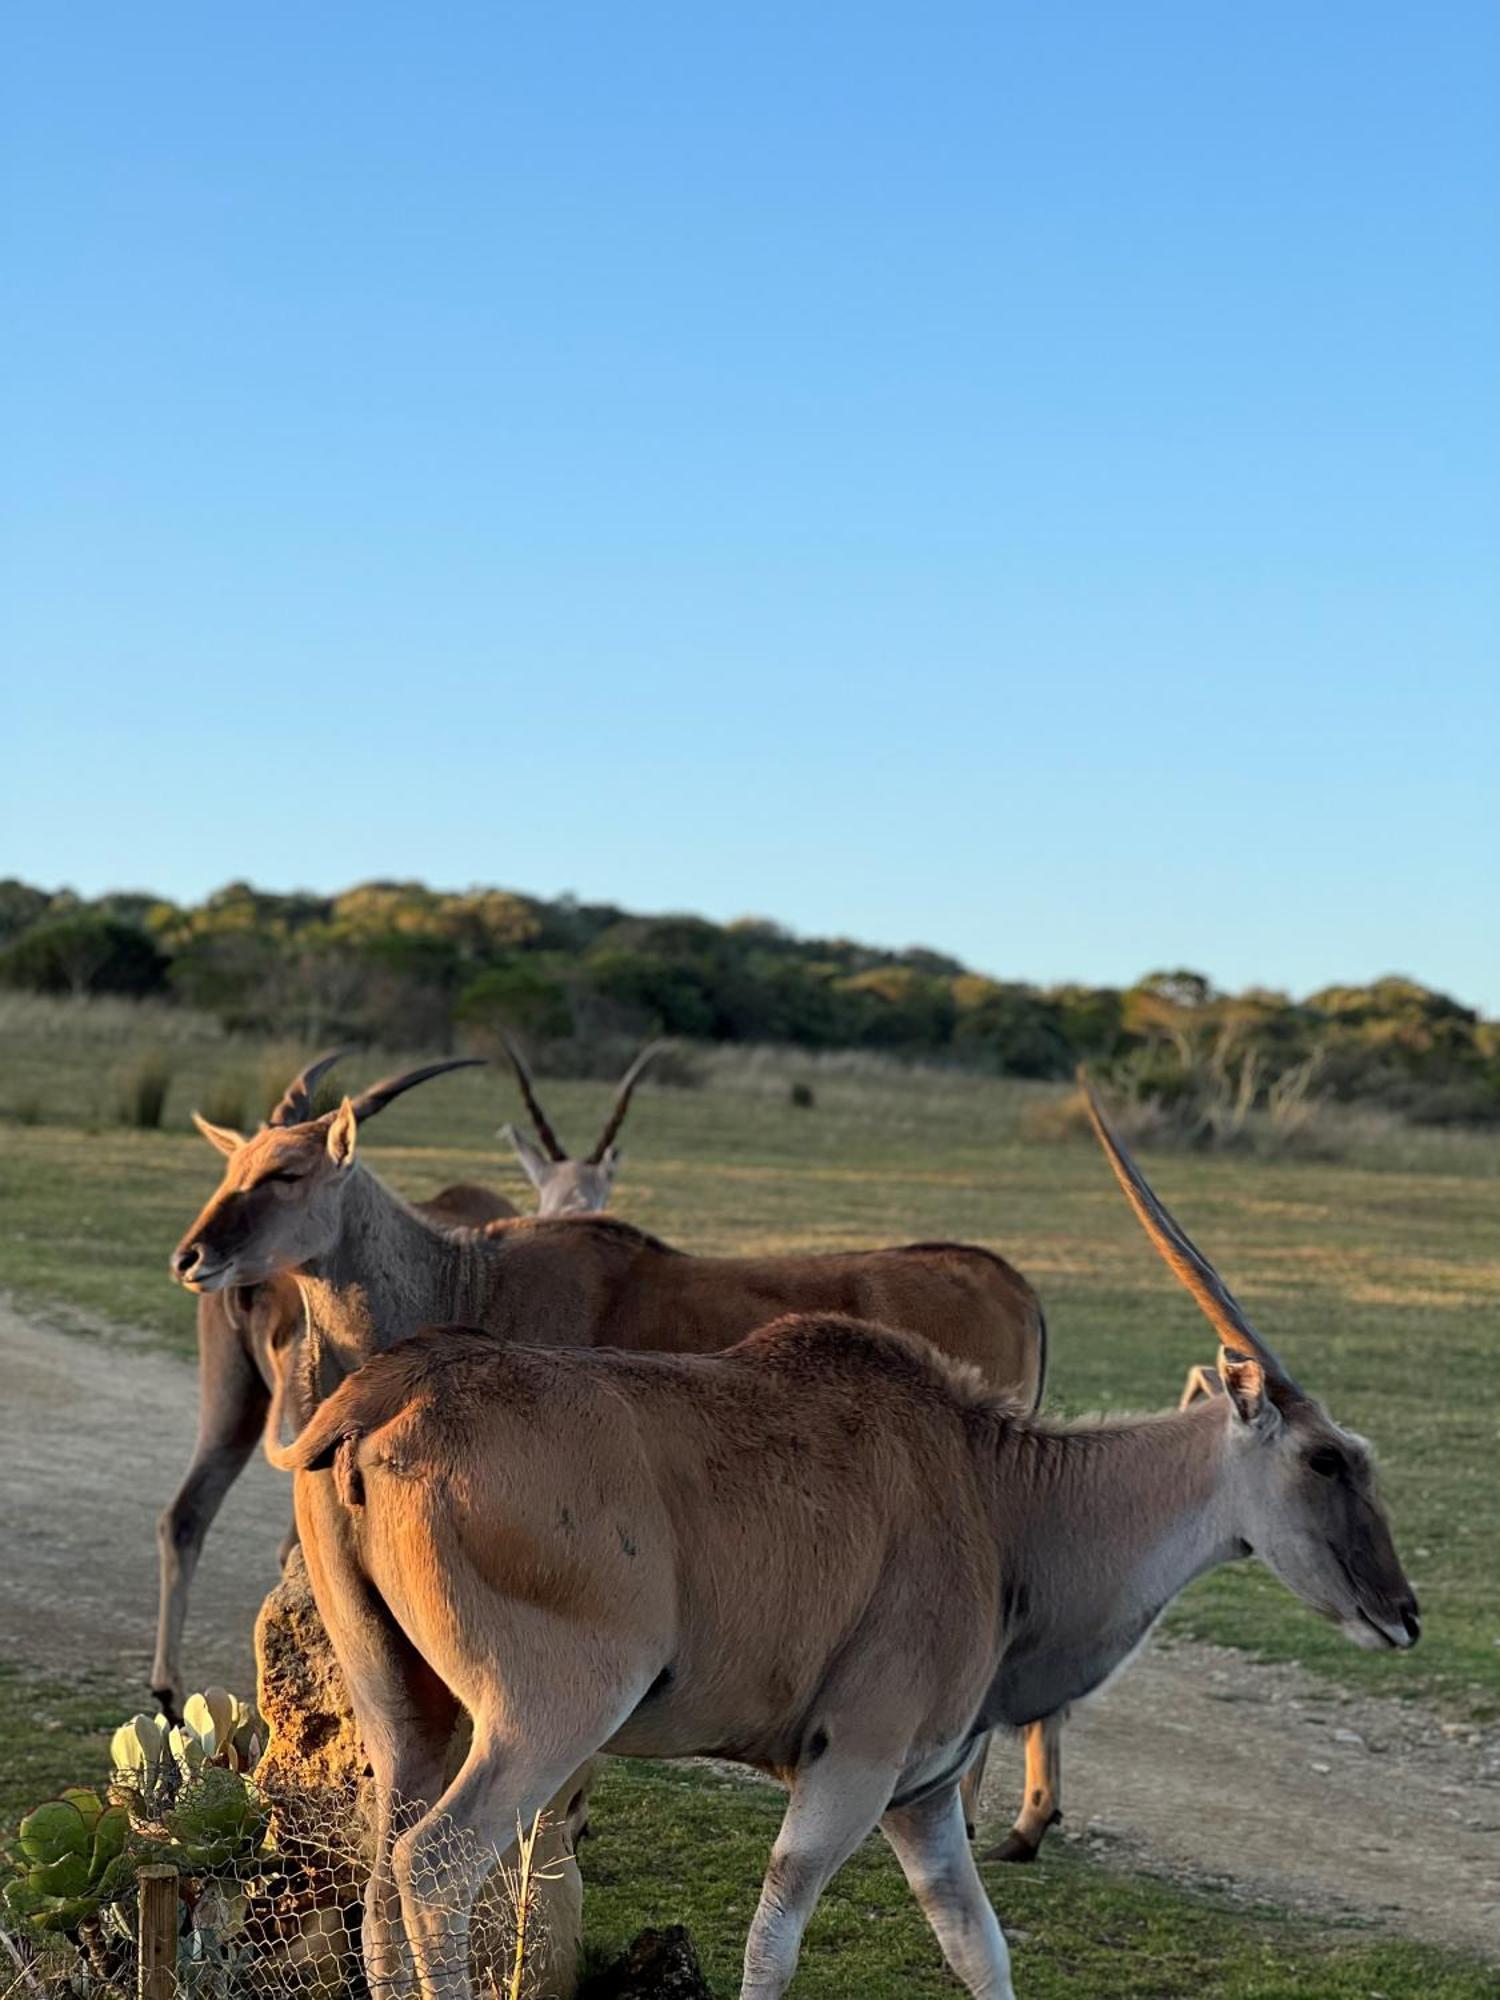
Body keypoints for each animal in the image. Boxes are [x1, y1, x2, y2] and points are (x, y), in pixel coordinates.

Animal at [167, 1064, 1056, 1856]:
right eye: (233, 1166)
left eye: (287, 1172)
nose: (191, 1257)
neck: (467, 1276)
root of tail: (1012, 1283)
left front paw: (573, 1821)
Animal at [262, 1088, 1424, 2000]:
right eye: (1331, 1460)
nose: (1403, 1613)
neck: (997, 1493)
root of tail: (384, 1394)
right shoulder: (852, 1766)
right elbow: (774, 1941)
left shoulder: (922, 1799)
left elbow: (980, 1949)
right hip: (548, 1716)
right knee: (436, 1864)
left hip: (407, 1709)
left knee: (383, 1871)